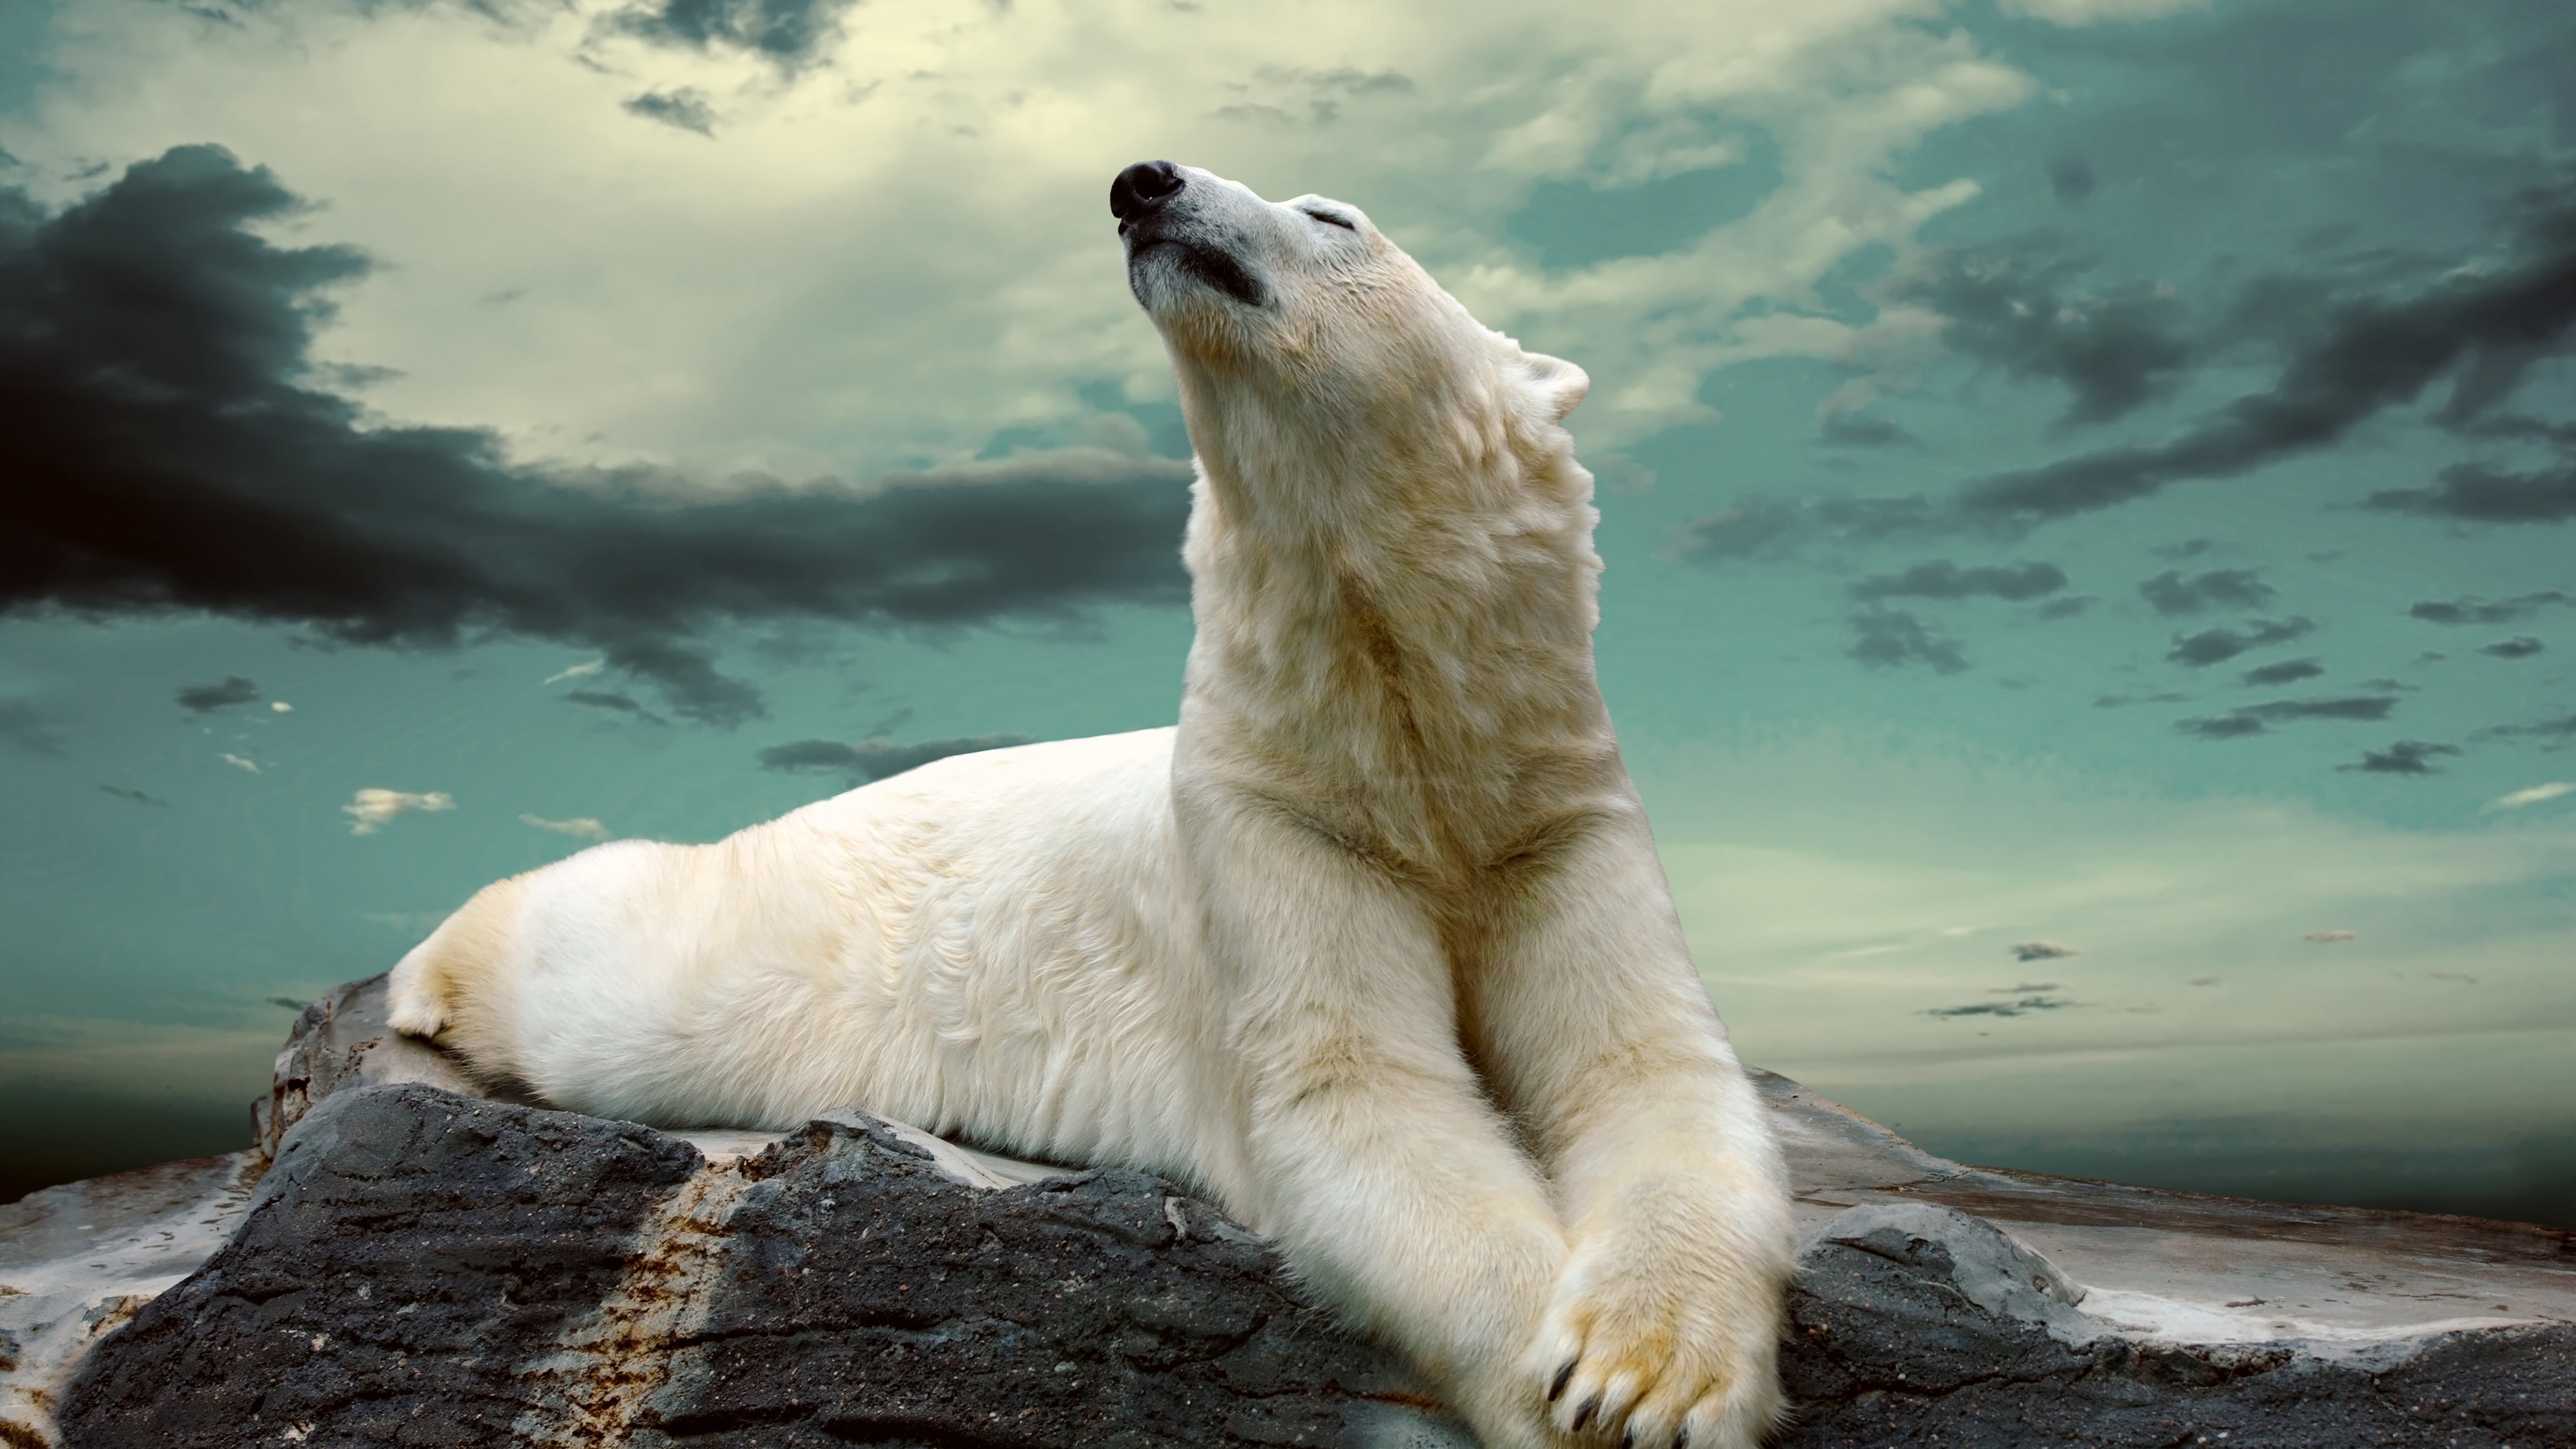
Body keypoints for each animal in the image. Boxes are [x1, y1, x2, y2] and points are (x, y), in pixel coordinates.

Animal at [388, 160, 1793, 1449]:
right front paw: (1584, 1397)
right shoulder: (1269, 824)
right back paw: (425, 979)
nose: (1143, 182)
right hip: (784, 943)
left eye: (1333, 215)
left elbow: (1649, 1070)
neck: (1402, 738)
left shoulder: (1550, 812)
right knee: (613, 977)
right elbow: (1359, 1096)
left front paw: (1644, 1372)